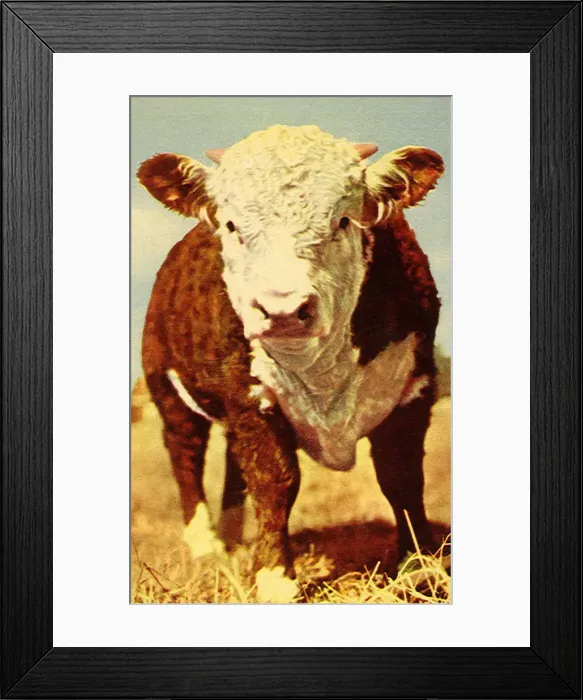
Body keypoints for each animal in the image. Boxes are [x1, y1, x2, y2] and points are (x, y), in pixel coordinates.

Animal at [137, 124, 444, 602]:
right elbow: (274, 481)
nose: (282, 310)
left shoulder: (414, 387)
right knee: (185, 455)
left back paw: (234, 540)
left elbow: (402, 476)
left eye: (343, 221)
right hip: (165, 387)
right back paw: (206, 546)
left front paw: (419, 567)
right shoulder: (248, 395)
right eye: (231, 225)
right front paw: (275, 579)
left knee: (232, 466)